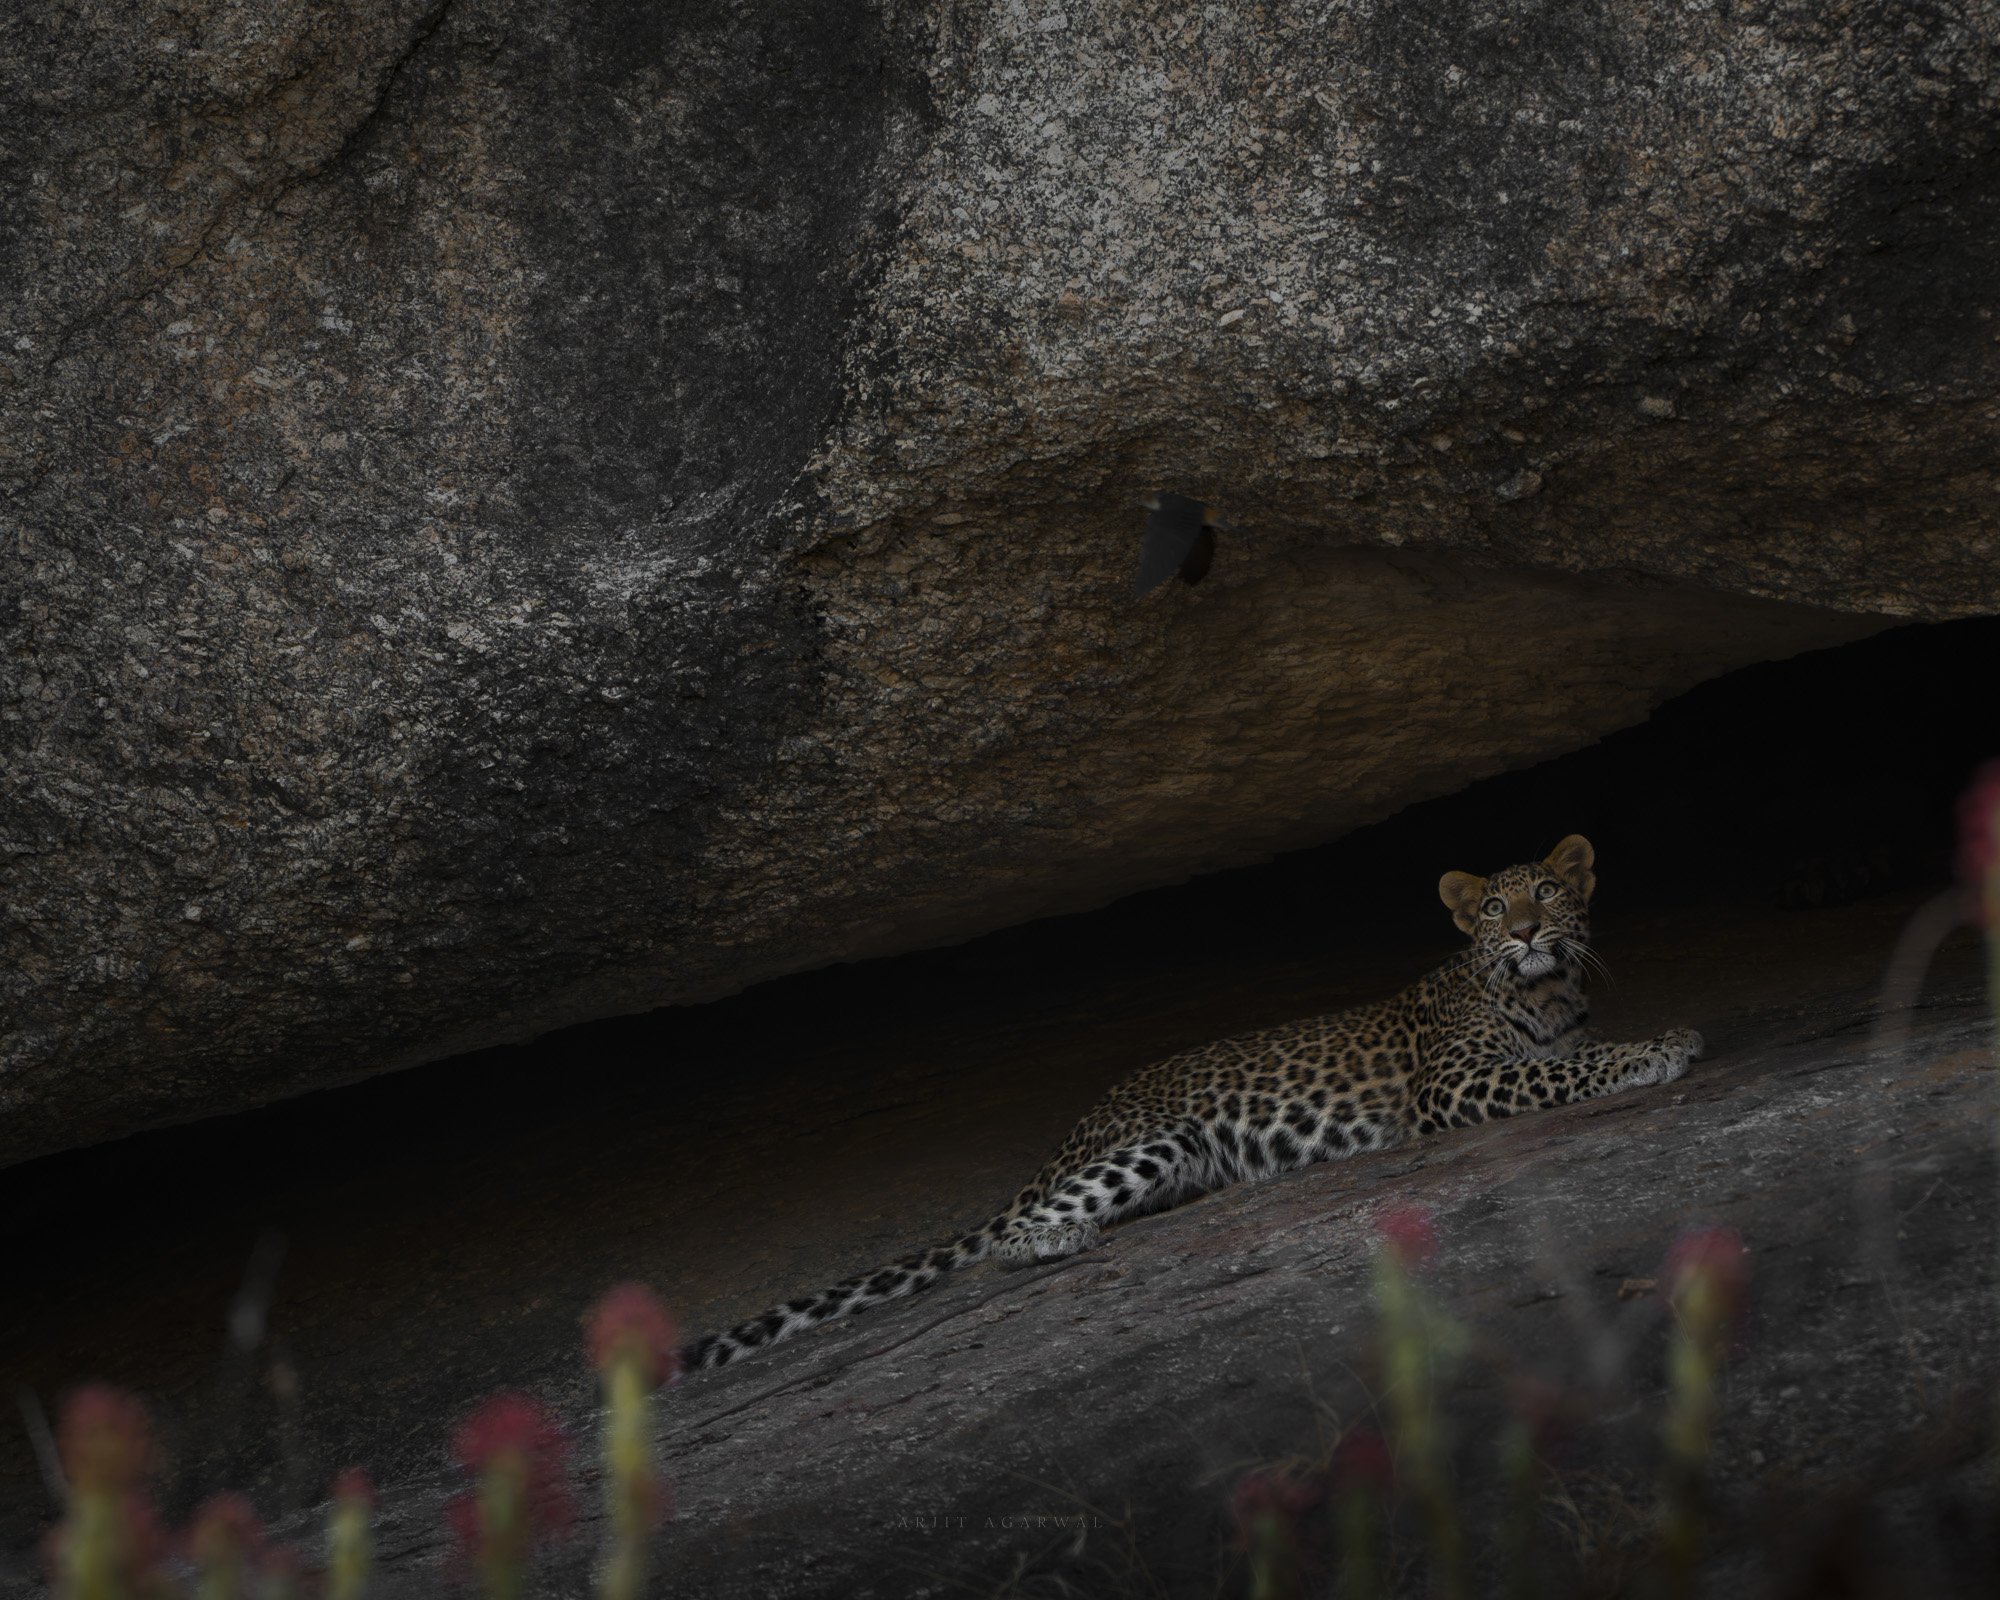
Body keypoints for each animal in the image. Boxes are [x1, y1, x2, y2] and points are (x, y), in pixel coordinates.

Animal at [681, 835, 1702, 1371]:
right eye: (1493, 911)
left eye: (1549, 894)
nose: (1527, 932)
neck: (1546, 993)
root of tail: (1064, 1136)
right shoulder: (1453, 1081)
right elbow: (1562, 1070)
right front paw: (1659, 1047)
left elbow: (1565, 1058)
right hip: (1152, 1143)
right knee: (1011, 1238)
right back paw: (1055, 1237)